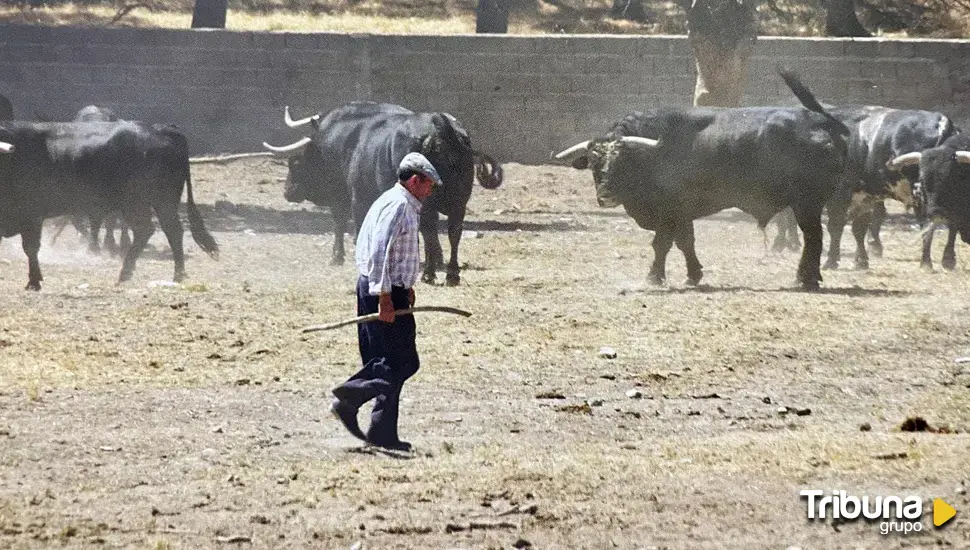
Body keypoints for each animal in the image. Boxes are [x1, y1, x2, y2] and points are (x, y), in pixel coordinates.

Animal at [0, 122, 217, 292]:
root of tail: (162, 129)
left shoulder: (31, 216)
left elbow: (31, 248)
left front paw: (34, 282)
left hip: (149, 202)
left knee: (160, 231)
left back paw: (154, 273)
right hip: (152, 204)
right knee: (160, 231)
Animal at [262, 101, 502, 286]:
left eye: (295, 162)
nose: (287, 191)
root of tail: (440, 126)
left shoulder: (354, 198)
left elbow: (345, 223)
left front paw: (339, 257)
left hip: (429, 203)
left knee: (430, 230)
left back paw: (429, 274)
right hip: (458, 202)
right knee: (453, 232)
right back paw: (451, 274)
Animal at [552, 71, 848, 292]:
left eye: (622, 162)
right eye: (593, 164)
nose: (606, 195)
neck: (654, 152)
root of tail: (823, 122)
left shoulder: (669, 212)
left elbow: (662, 243)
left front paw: (654, 276)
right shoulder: (682, 214)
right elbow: (686, 242)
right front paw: (693, 274)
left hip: (807, 203)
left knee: (814, 237)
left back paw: (806, 279)